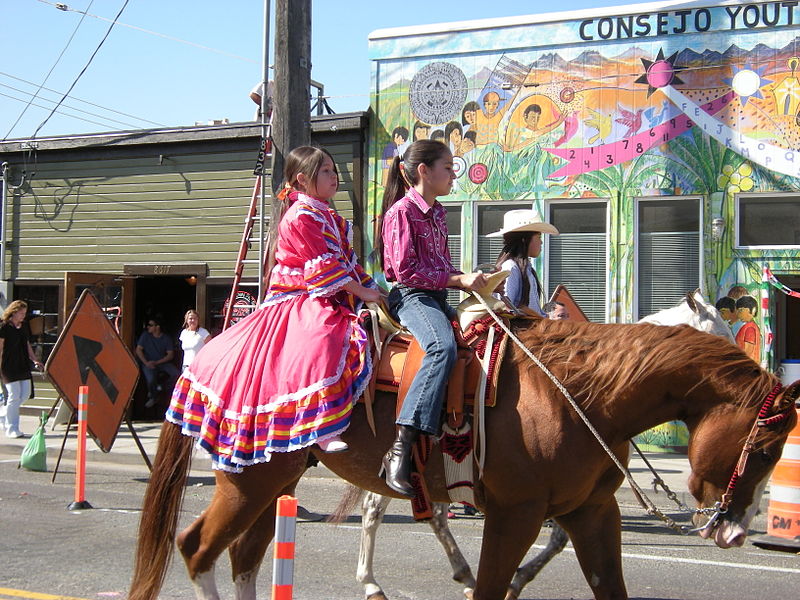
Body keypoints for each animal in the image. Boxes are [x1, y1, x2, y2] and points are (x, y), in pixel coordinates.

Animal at [128, 318, 796, 600]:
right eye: (766, 447)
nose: (734, 532)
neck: (577, 396)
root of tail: (213, 348)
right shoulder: (514, 514)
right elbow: (493, 586)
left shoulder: (591, 514)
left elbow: (608, 586)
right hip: (248, 481)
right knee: (198, 549)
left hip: (277, 478)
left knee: (243, 556)